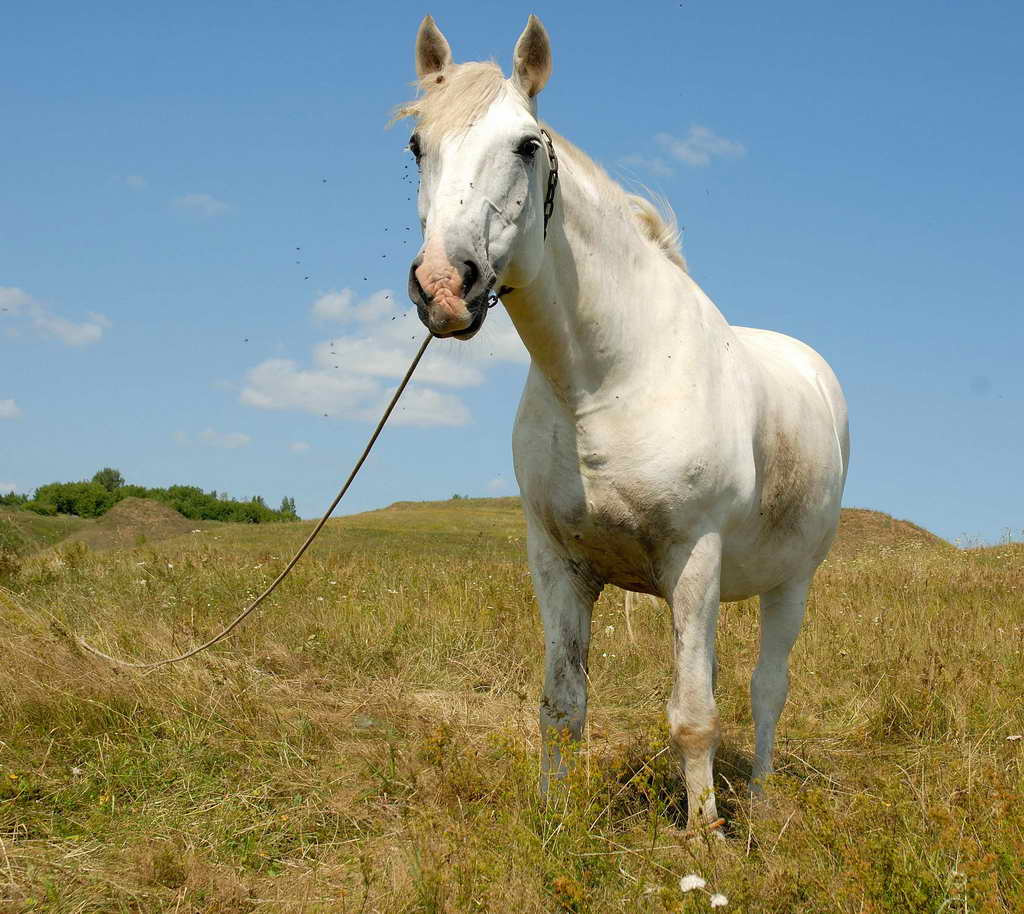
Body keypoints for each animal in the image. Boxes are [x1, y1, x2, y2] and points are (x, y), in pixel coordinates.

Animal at [397, 15, 849, 831]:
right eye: (418, 145)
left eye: (527, 144)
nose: (444, 286)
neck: (608, 382)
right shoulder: (558, 565)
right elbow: (562, 705)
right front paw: (554, 823)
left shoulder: (693, 558)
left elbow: (694, 717)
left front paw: (704, 837)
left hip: (790, 583)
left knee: (767, 692)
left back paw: (759, 803)